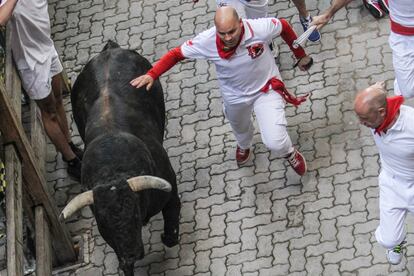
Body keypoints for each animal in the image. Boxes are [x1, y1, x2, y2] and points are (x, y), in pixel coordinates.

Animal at [60, 40, 181, 274]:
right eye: (104, 224)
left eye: (134, 213)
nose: (130, 254)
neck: (112, 168)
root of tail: (109, 49)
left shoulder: (170, 195)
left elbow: (171, 235)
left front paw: (166, 237)